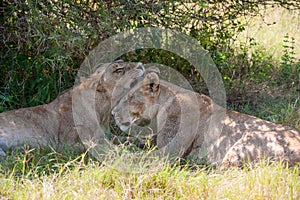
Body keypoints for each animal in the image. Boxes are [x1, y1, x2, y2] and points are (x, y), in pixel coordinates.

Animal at [0, 60, 145, 155]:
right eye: (119, 70)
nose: (141, 65)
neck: (102, 109)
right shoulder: (65, 144)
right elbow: (99, 146)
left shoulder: (106, 134)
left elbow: (124, 139)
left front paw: (144, 141)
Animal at [112, 67, 300, 169]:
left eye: (129, 98)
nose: (113, 113)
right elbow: (130, 140)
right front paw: (111, 140)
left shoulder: (170, 151)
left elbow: (136, 156)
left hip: (246, 142)